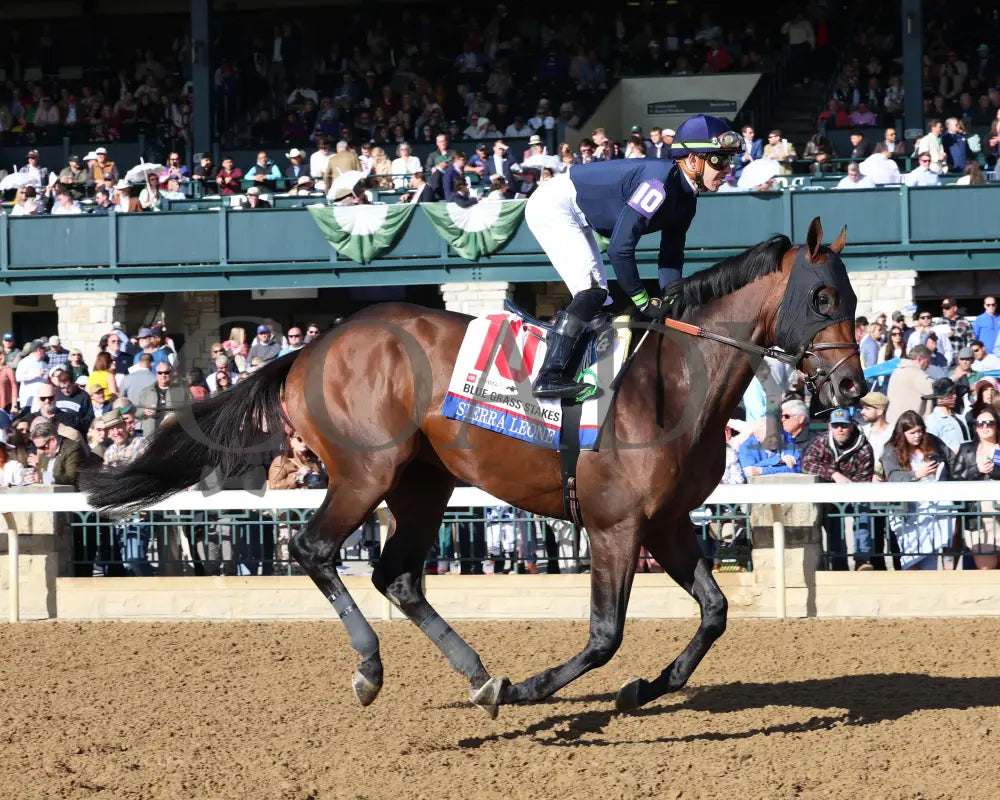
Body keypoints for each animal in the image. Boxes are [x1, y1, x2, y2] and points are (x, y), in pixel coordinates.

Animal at [84, 217, 868, 720]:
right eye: (822, 297)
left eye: (855, 299)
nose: (852, 388)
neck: (674, 379)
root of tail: (313, 345)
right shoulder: (616, 525)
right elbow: (604, 636)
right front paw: (537, 690)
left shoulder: (667, 521)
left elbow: (714, 613)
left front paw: (644, 688)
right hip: (365, 474)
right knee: (314, 550)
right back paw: (374, 668)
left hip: (424, 482)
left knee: (397, 575)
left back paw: (480, 678)